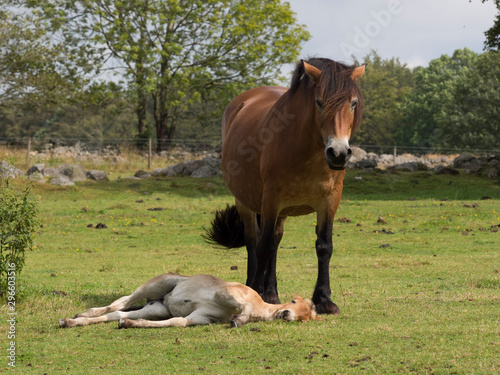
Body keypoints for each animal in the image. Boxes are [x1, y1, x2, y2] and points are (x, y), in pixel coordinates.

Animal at [205, 58, 366, 316]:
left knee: (276, 239)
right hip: (246, 203)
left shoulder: (330, 201)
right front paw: (256, 293)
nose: (339, 153)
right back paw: (254, 286)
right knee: (254, 240)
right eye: (319, 102)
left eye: (353, 103)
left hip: (280, 211)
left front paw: (325, 300)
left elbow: (324, 246)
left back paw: (271, 292)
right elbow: (264, 246)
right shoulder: (271, 199)